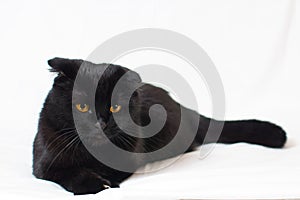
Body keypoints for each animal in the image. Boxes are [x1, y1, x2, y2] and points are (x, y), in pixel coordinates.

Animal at [32, 57, 286, 195]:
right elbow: (69, 173)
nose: (101, 124)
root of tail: (186, 109)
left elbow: (109, 170)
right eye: (82, 107)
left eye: (115, 108)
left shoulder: (128, 157)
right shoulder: (45, 163)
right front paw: (94, 184)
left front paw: (104, 182)